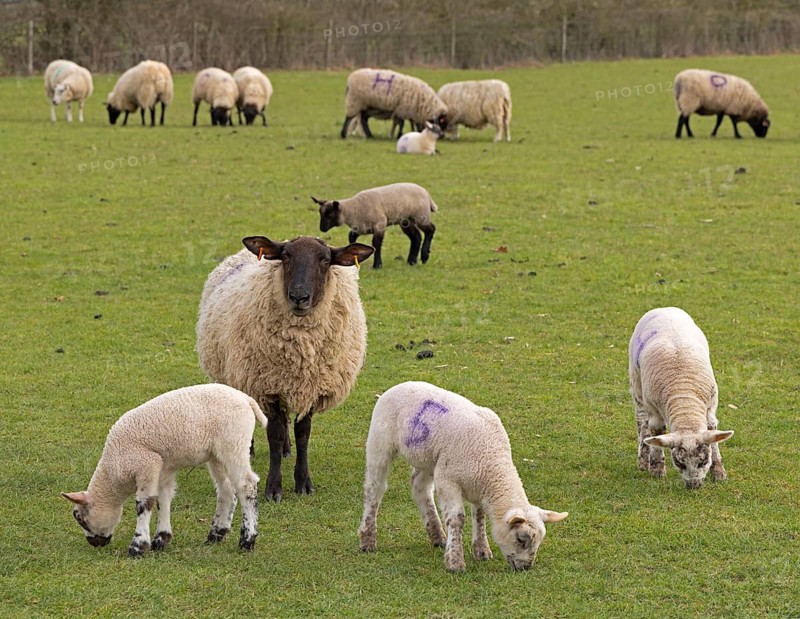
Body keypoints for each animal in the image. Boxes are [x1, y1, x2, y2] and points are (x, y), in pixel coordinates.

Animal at [61, 384, 266, 557]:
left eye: (80, 519)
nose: (94, 543)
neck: (115, 469)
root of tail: (246, 399)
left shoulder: (146, 464)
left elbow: (145, 503)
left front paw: (138, 547)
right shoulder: (163, 467)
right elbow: (163, 499)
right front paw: (161, 539)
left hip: (234, 443)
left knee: (246, 486)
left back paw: (247, 540)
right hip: (217, 455)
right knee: (226, 489)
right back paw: (216, 534)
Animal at [196, 235, 375, 502]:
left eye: (324, 260)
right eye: (286, 256)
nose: (299, 296)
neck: (301, 349)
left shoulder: (311, 388)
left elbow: (303, 434)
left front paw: (303, 483)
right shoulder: (268, 388)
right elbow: (275, 434)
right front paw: (274, 488)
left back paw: (286, 450)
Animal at [359, 381, 569, 572]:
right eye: (521, 539)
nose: (526, 567)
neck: (492, 465)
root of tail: (399, 385)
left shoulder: (477, 486)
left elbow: (480, 516)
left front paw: (482, 551)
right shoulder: (448, 481)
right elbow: (457, 519)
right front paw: (455, 562)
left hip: (429, 459)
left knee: (420, 488)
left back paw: (437, 536)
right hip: (380, 443)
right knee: (375, 488)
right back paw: (367, 539)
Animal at [629, 307, 734, 489]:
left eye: (703, 461)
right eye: (679, 463)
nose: (694, 485)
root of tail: (664, 308)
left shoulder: (711, 408)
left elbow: (713, 435)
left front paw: (719, 472)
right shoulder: (654, 410)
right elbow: (656, 433)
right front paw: (657, 470)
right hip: (636, 381)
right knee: (641, 420)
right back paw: (643, 459)